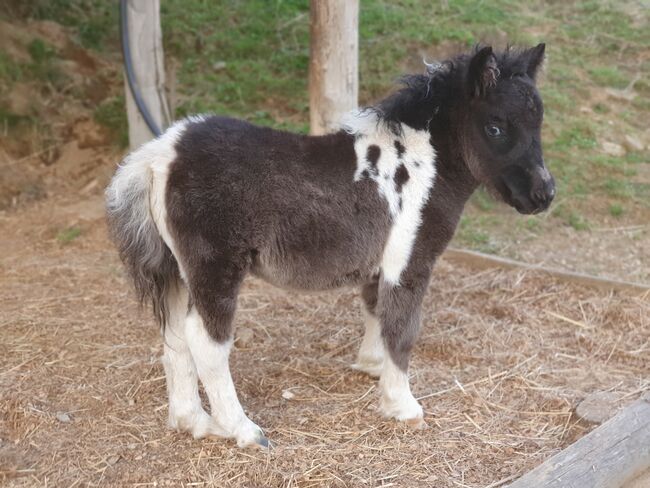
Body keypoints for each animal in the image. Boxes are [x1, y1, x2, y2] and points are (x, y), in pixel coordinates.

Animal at [106, 43, 552, 448]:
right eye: (496, 127)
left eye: (538, 124)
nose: (544, 194)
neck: (421, 165)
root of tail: (161, 155)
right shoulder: (409, 262)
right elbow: (402, 330)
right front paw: (402, 406)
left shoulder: (379, 264)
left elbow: (375, 312)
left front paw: (371, 367)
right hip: (214, 267)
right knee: (207, 343)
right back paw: (244, 431)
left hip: (177, 270)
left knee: (175, 338)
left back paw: (195, 423)